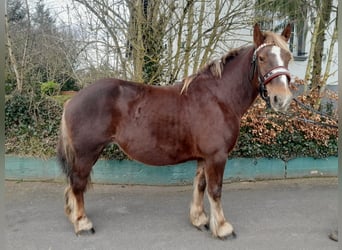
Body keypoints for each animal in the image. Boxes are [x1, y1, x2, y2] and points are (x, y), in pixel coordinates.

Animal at [57, 24, 292, 239]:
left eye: (288, 57)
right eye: (261, 58)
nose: (282, 98)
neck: (219, 98)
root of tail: (72, 100)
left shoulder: (204, 157)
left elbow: (200, 186)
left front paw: (199, 219)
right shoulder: (216, 156)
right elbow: (215, 190)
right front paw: (223, 228)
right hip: (87, 153)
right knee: (77, 184)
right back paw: (82, 223)